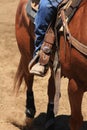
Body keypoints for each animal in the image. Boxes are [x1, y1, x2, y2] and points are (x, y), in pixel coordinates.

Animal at [14, 0, 87, 130]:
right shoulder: (76, 84)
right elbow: (76, 120)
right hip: (26, 52)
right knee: (29, 78)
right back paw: (29, 114)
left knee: (51, 85)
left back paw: (50, 118)